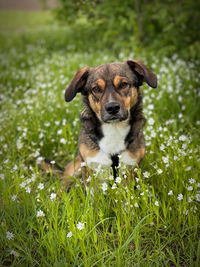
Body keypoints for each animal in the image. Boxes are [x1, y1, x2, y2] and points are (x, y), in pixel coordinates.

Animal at [40, 60, 156, 189]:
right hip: (73, 170)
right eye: (96, 89)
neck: (114, 128)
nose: (112, 108)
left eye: (124, 84)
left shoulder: (131, 168)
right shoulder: (89, 167)